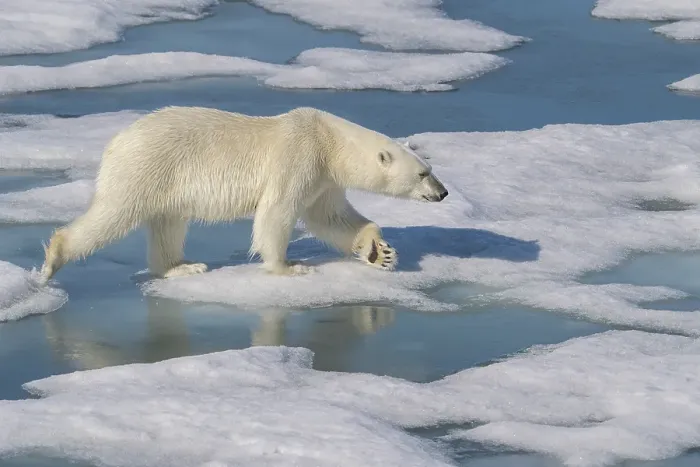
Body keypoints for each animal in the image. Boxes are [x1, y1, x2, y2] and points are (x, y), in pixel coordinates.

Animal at [39, 106, 448, 283]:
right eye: (423, 173)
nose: (443, 192)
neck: (329, 141)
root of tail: (115, 142)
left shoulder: (324, 179)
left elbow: (329, 217)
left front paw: (381, 252)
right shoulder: (299, 156)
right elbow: (277, 211)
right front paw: (290, 266)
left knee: (168, 223)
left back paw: (182, 266)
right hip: (145, 167)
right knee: (113, 214)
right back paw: (54, 258)